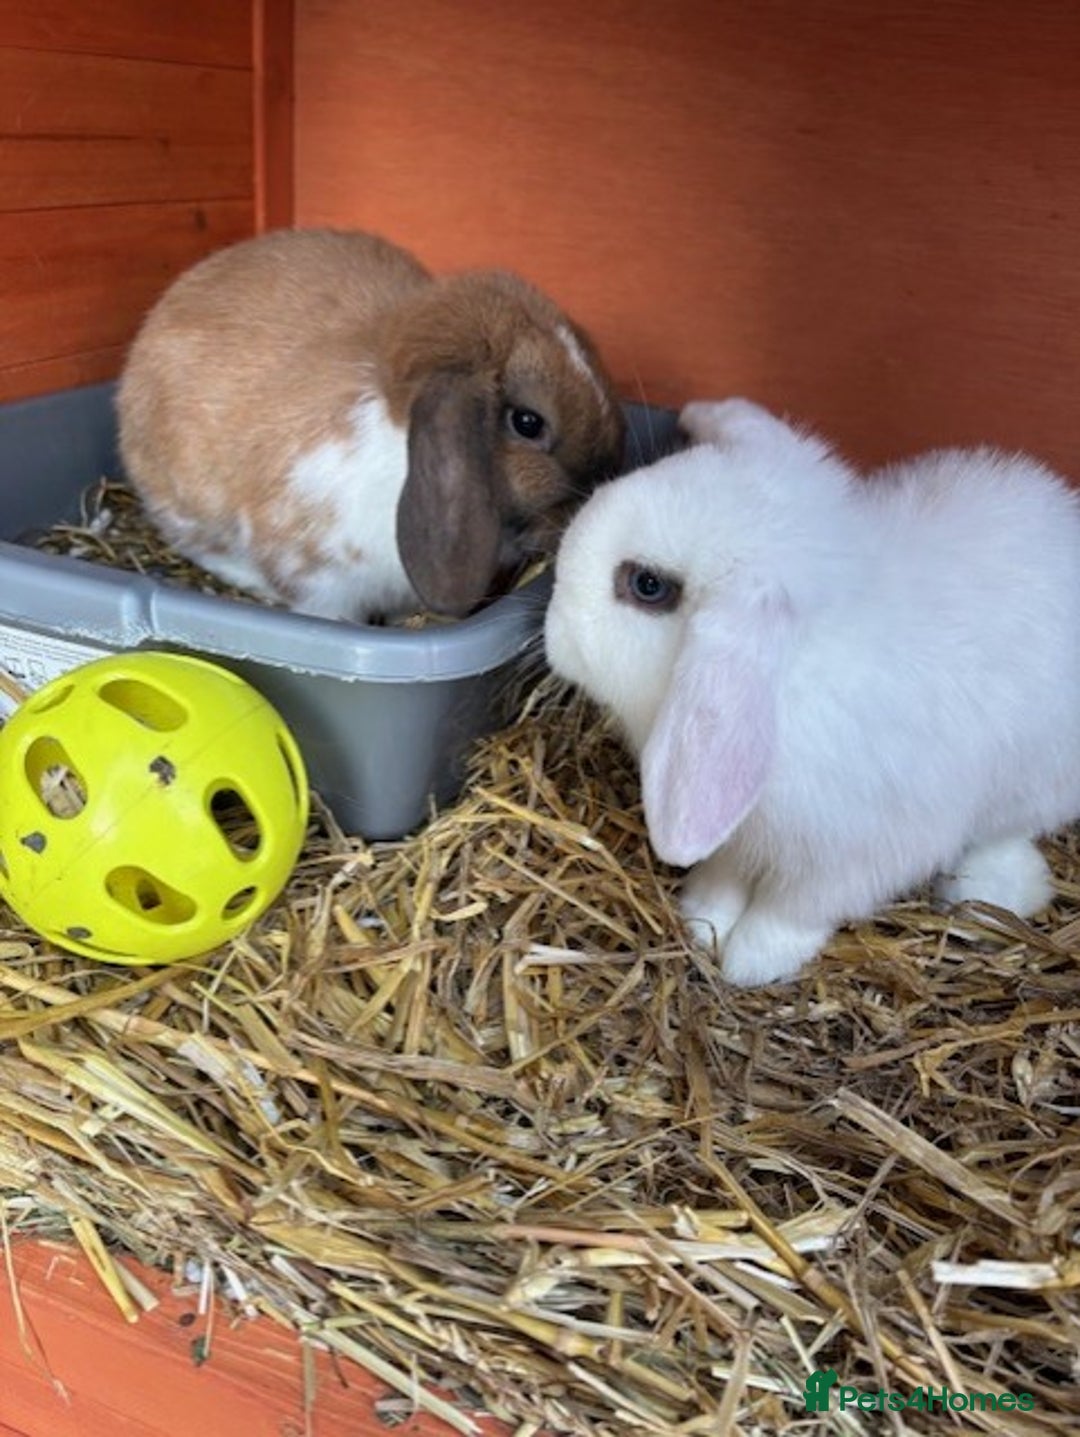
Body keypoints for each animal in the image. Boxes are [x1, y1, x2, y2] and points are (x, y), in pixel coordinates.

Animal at [545, 396, 1080, 986]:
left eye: (647, 585)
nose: (552, 630)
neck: (791, 680)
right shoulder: (736, 827)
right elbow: (726, 875)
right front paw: (704, 918)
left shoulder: (852, 859)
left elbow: (794, 910)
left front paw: (750, 961)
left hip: (1036, 785)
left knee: (1006, 835)